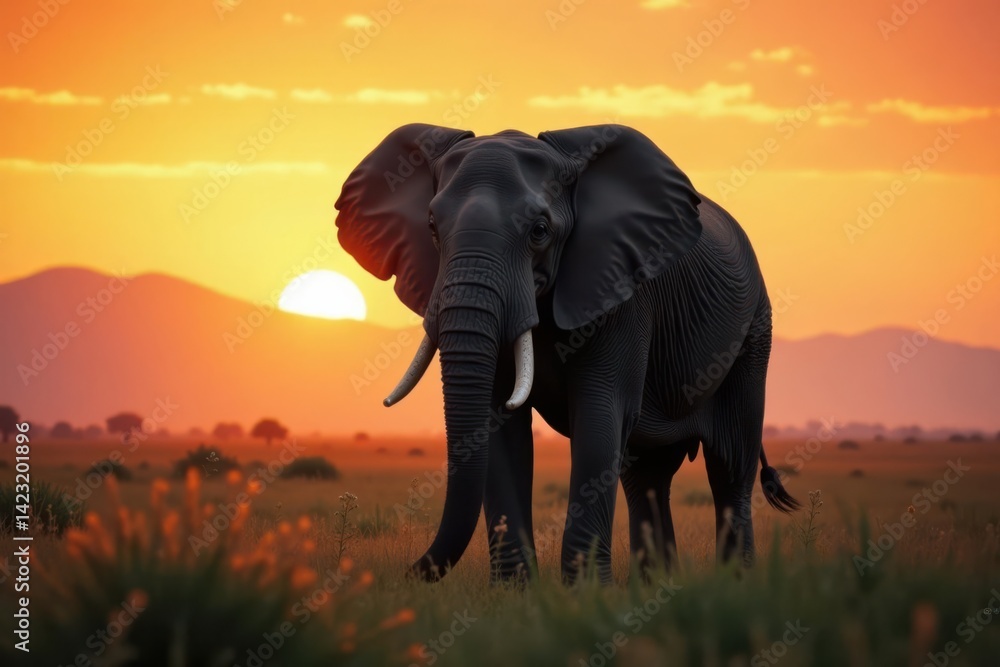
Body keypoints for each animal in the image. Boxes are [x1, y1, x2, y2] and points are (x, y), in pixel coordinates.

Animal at [335, 123, 799, 584]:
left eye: (539, 230)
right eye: (431, 227)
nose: (406, 572)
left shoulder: (621, 290)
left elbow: (599, 416)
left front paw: (585, 592)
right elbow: (498, 425)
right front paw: (516, 592)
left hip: (753, 335)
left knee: (730, 466)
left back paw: (734, 583)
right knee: (646, 475)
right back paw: (654, 587)